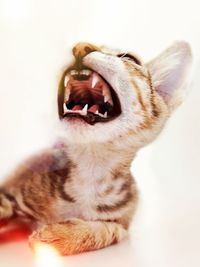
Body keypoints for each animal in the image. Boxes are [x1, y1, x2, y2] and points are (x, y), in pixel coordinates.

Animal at [0, 41, 191, 255]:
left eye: (130, 58)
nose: (81, 46)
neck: (90, 170)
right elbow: (4, 205)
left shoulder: (122, 223)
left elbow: (106, 230)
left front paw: (59, 235)